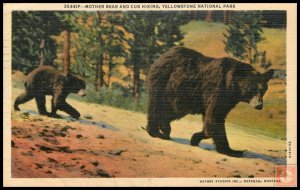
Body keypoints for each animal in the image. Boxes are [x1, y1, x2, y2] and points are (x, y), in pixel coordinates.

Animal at [146, 47, 276, 157]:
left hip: (179, 97)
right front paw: (231, 150)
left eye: (263, 90)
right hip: (163, 83)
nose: (259, 105)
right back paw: (155, 131)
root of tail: (162, 55)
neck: (233, 86)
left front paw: (195, 138)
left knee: (171, 111)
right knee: (157, 106)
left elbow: (213, 118)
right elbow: (214, 118)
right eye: (252, 89)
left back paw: (165, 128)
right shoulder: (218, 89)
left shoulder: (228, 100)